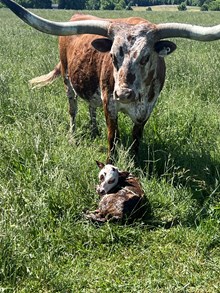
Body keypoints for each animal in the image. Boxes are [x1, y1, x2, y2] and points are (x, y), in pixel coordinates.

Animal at [2, 0, 220, 162]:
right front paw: (110, 162)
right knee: (73, 109)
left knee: (91, 105)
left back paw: (93, 130)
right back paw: (72, 136)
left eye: (145, 57)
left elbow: (136, 137)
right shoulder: (110, 102)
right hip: (67, 78)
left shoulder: (147, 109)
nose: (123, 94)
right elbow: (112, 136)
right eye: (113, 56)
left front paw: (133, 160)